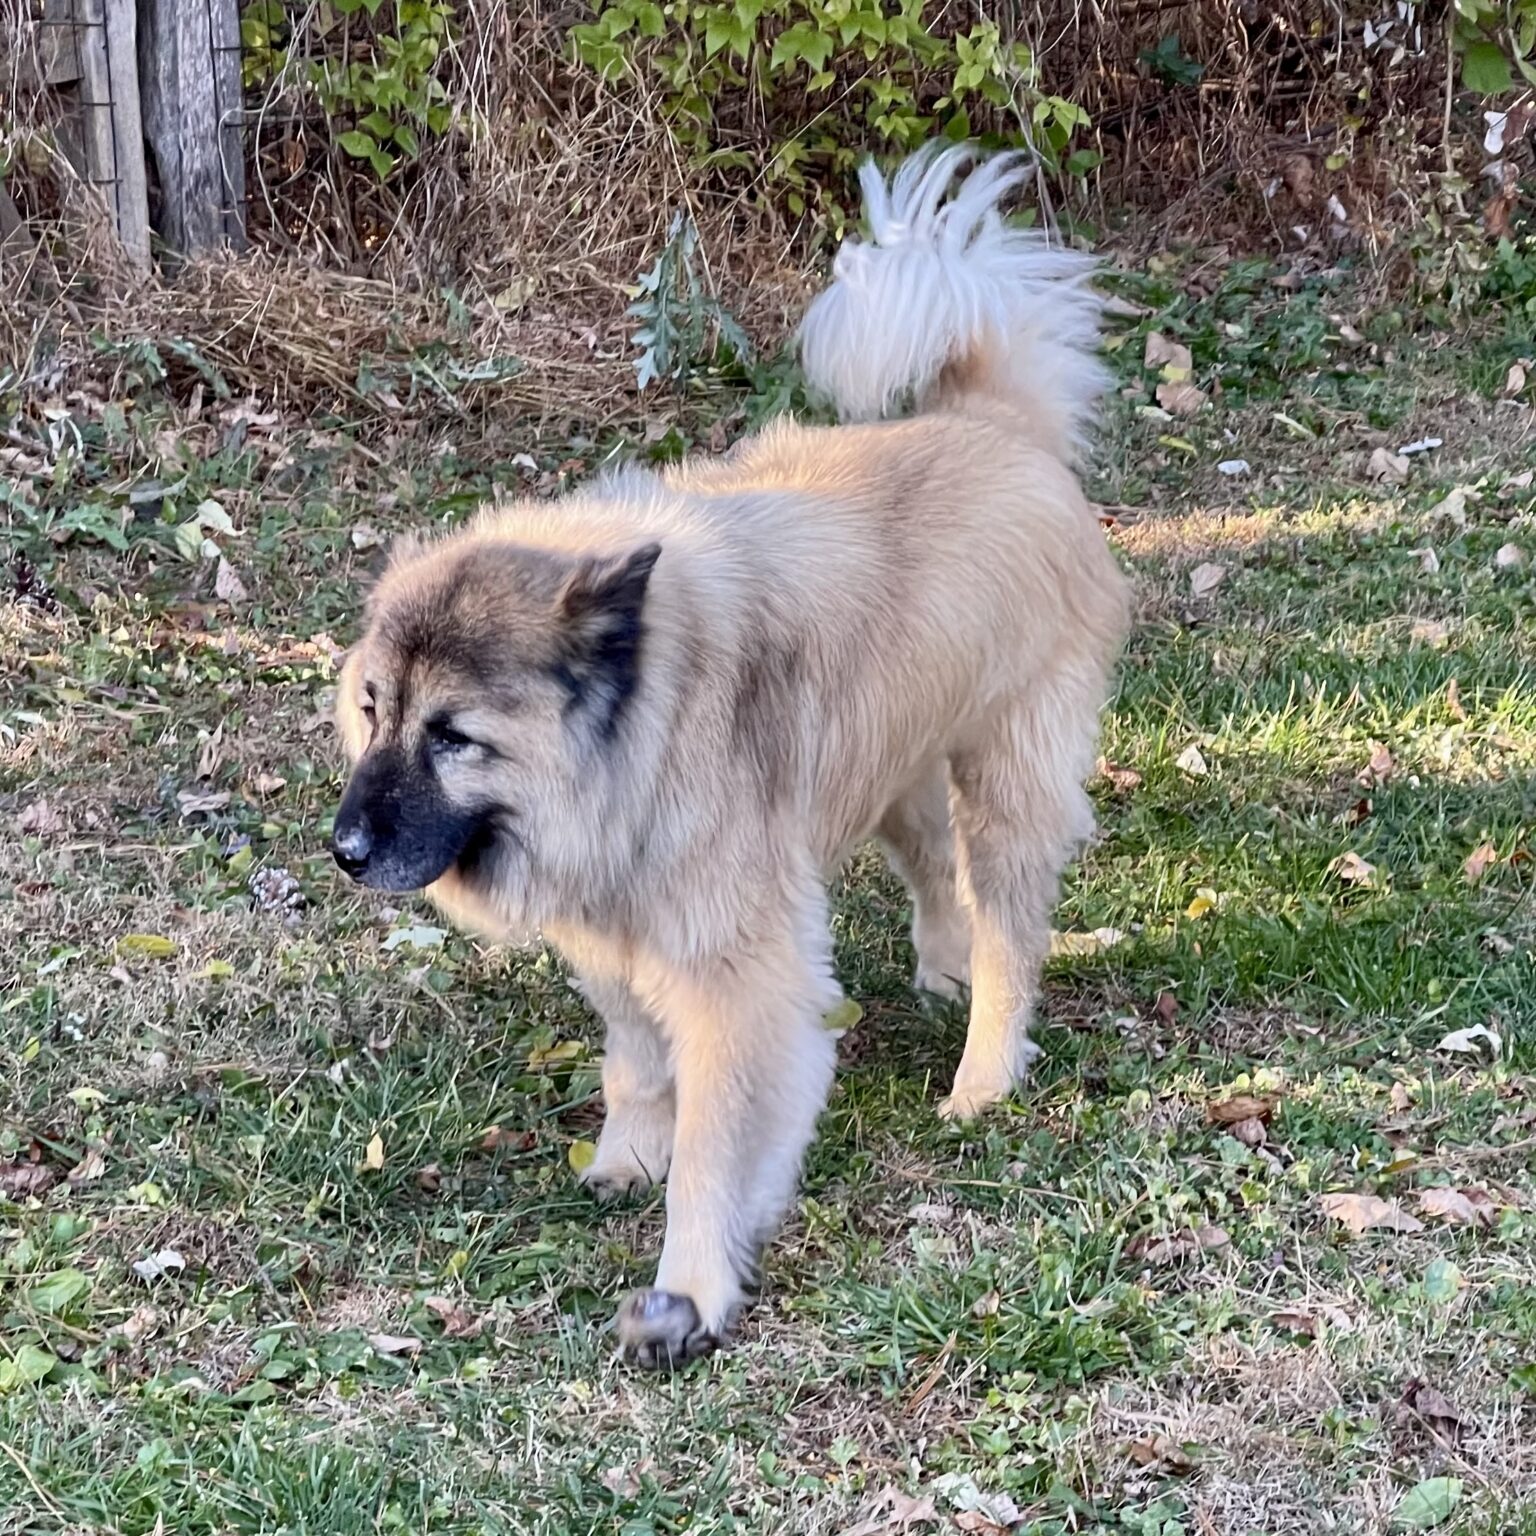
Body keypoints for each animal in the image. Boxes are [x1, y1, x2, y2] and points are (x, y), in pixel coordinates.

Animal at [330, 144, 1131, 1367]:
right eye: (371, 711)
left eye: (451, 736)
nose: (344, 849)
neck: (641, 730)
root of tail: (991, 423)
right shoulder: (617, 934)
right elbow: (634, 1064)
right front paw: (627, 1156)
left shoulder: (733, 980)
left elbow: (716, 1143)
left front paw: (691, 1287)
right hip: (895, 771)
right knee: (936, 878)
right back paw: (940, 976)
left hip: (1005, 783)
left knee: (1009, 936)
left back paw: (981, 1079)